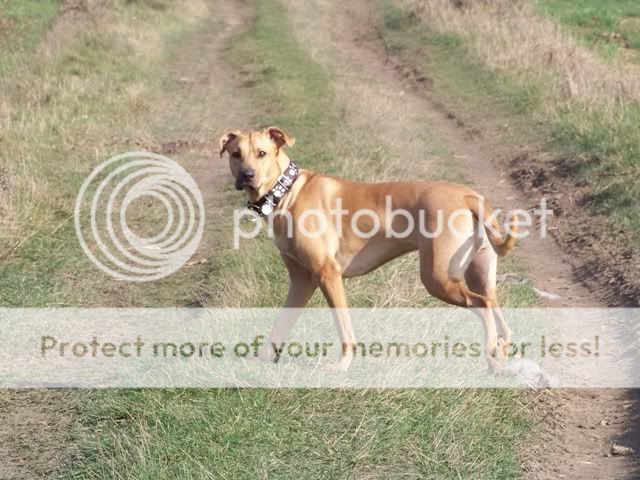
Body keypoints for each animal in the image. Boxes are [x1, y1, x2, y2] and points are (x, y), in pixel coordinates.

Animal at [220, 127, 517, 371]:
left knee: (483, 306)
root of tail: (469, 196)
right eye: (236, 154)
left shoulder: (328, 274)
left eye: (262, 153)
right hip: (479, 274)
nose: (247, 175)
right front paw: (261, 362)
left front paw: (342, 365)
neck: (288, 191)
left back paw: (491, 359)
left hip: (439, 278)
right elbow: (281, 324)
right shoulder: (301, 280)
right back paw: (500, 359)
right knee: (498, 315)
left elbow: (344, 328)